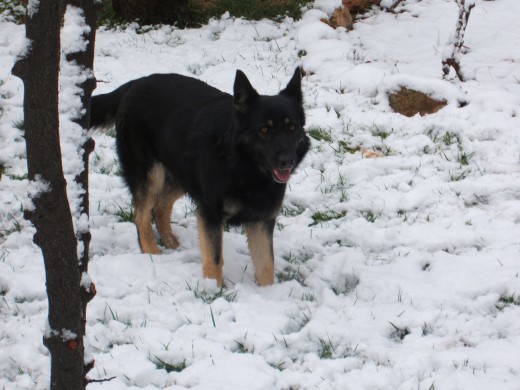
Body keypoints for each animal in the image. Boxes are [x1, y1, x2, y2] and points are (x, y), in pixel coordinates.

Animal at [90, 68, 308, 284]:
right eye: (264, 130)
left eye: (292, 127)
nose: (288, 161)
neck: (244, 164)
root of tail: (135, 83)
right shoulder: (211, 214)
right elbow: (215, 259)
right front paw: (213, 288)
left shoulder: (261, 220)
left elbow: (266, 266)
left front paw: (267, 291)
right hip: (151, 175)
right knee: (141, 216)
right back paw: (152, 252)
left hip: (181, 174)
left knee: (160, 207)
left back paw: (171, 243)